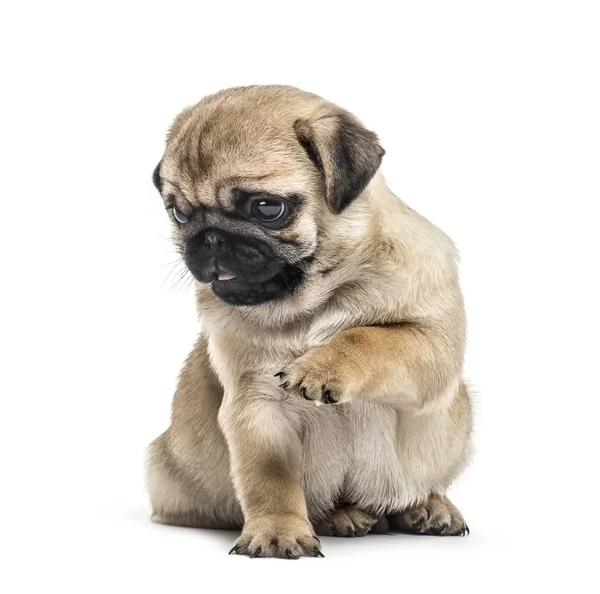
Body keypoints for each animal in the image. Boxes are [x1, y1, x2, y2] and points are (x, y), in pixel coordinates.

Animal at [146, 84, 474, 556]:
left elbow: (370, 338)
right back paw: (343, 515)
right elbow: (270, 480)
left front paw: (320, 366)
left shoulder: (432, 345)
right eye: (180, 214)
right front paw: (277, 530)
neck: (313, 302)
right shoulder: (256, 405)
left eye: (267, 208)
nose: (209, 238)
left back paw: (427, 505)